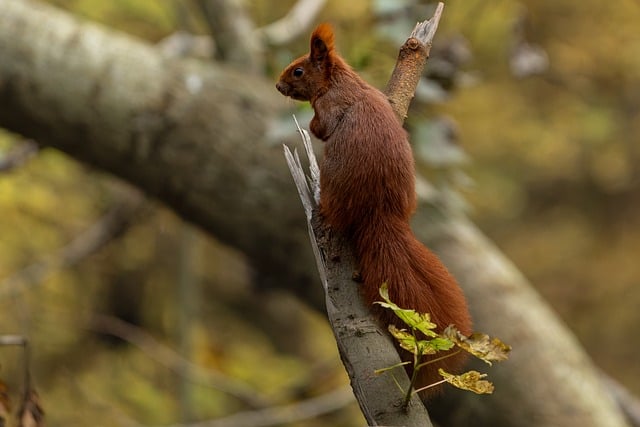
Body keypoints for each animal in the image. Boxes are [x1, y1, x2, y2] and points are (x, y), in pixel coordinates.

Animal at [276, 23, 470, 396]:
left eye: (298, 71)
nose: (278, 86)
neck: (342, 81)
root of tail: (381, 215)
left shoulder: (330, 105)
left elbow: (323, 127)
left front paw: (312, 128)